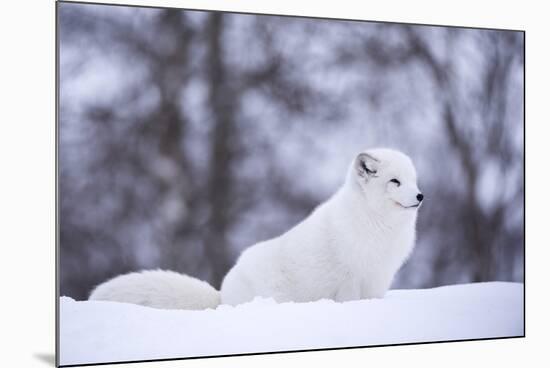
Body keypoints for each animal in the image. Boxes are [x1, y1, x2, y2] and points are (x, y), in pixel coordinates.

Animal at [89, 148, 422, 310]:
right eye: (394, 181)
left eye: (412, 180)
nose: (420, 196)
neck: (377, 223)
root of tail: (222, 296)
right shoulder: (350, 279)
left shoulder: (380, 278)